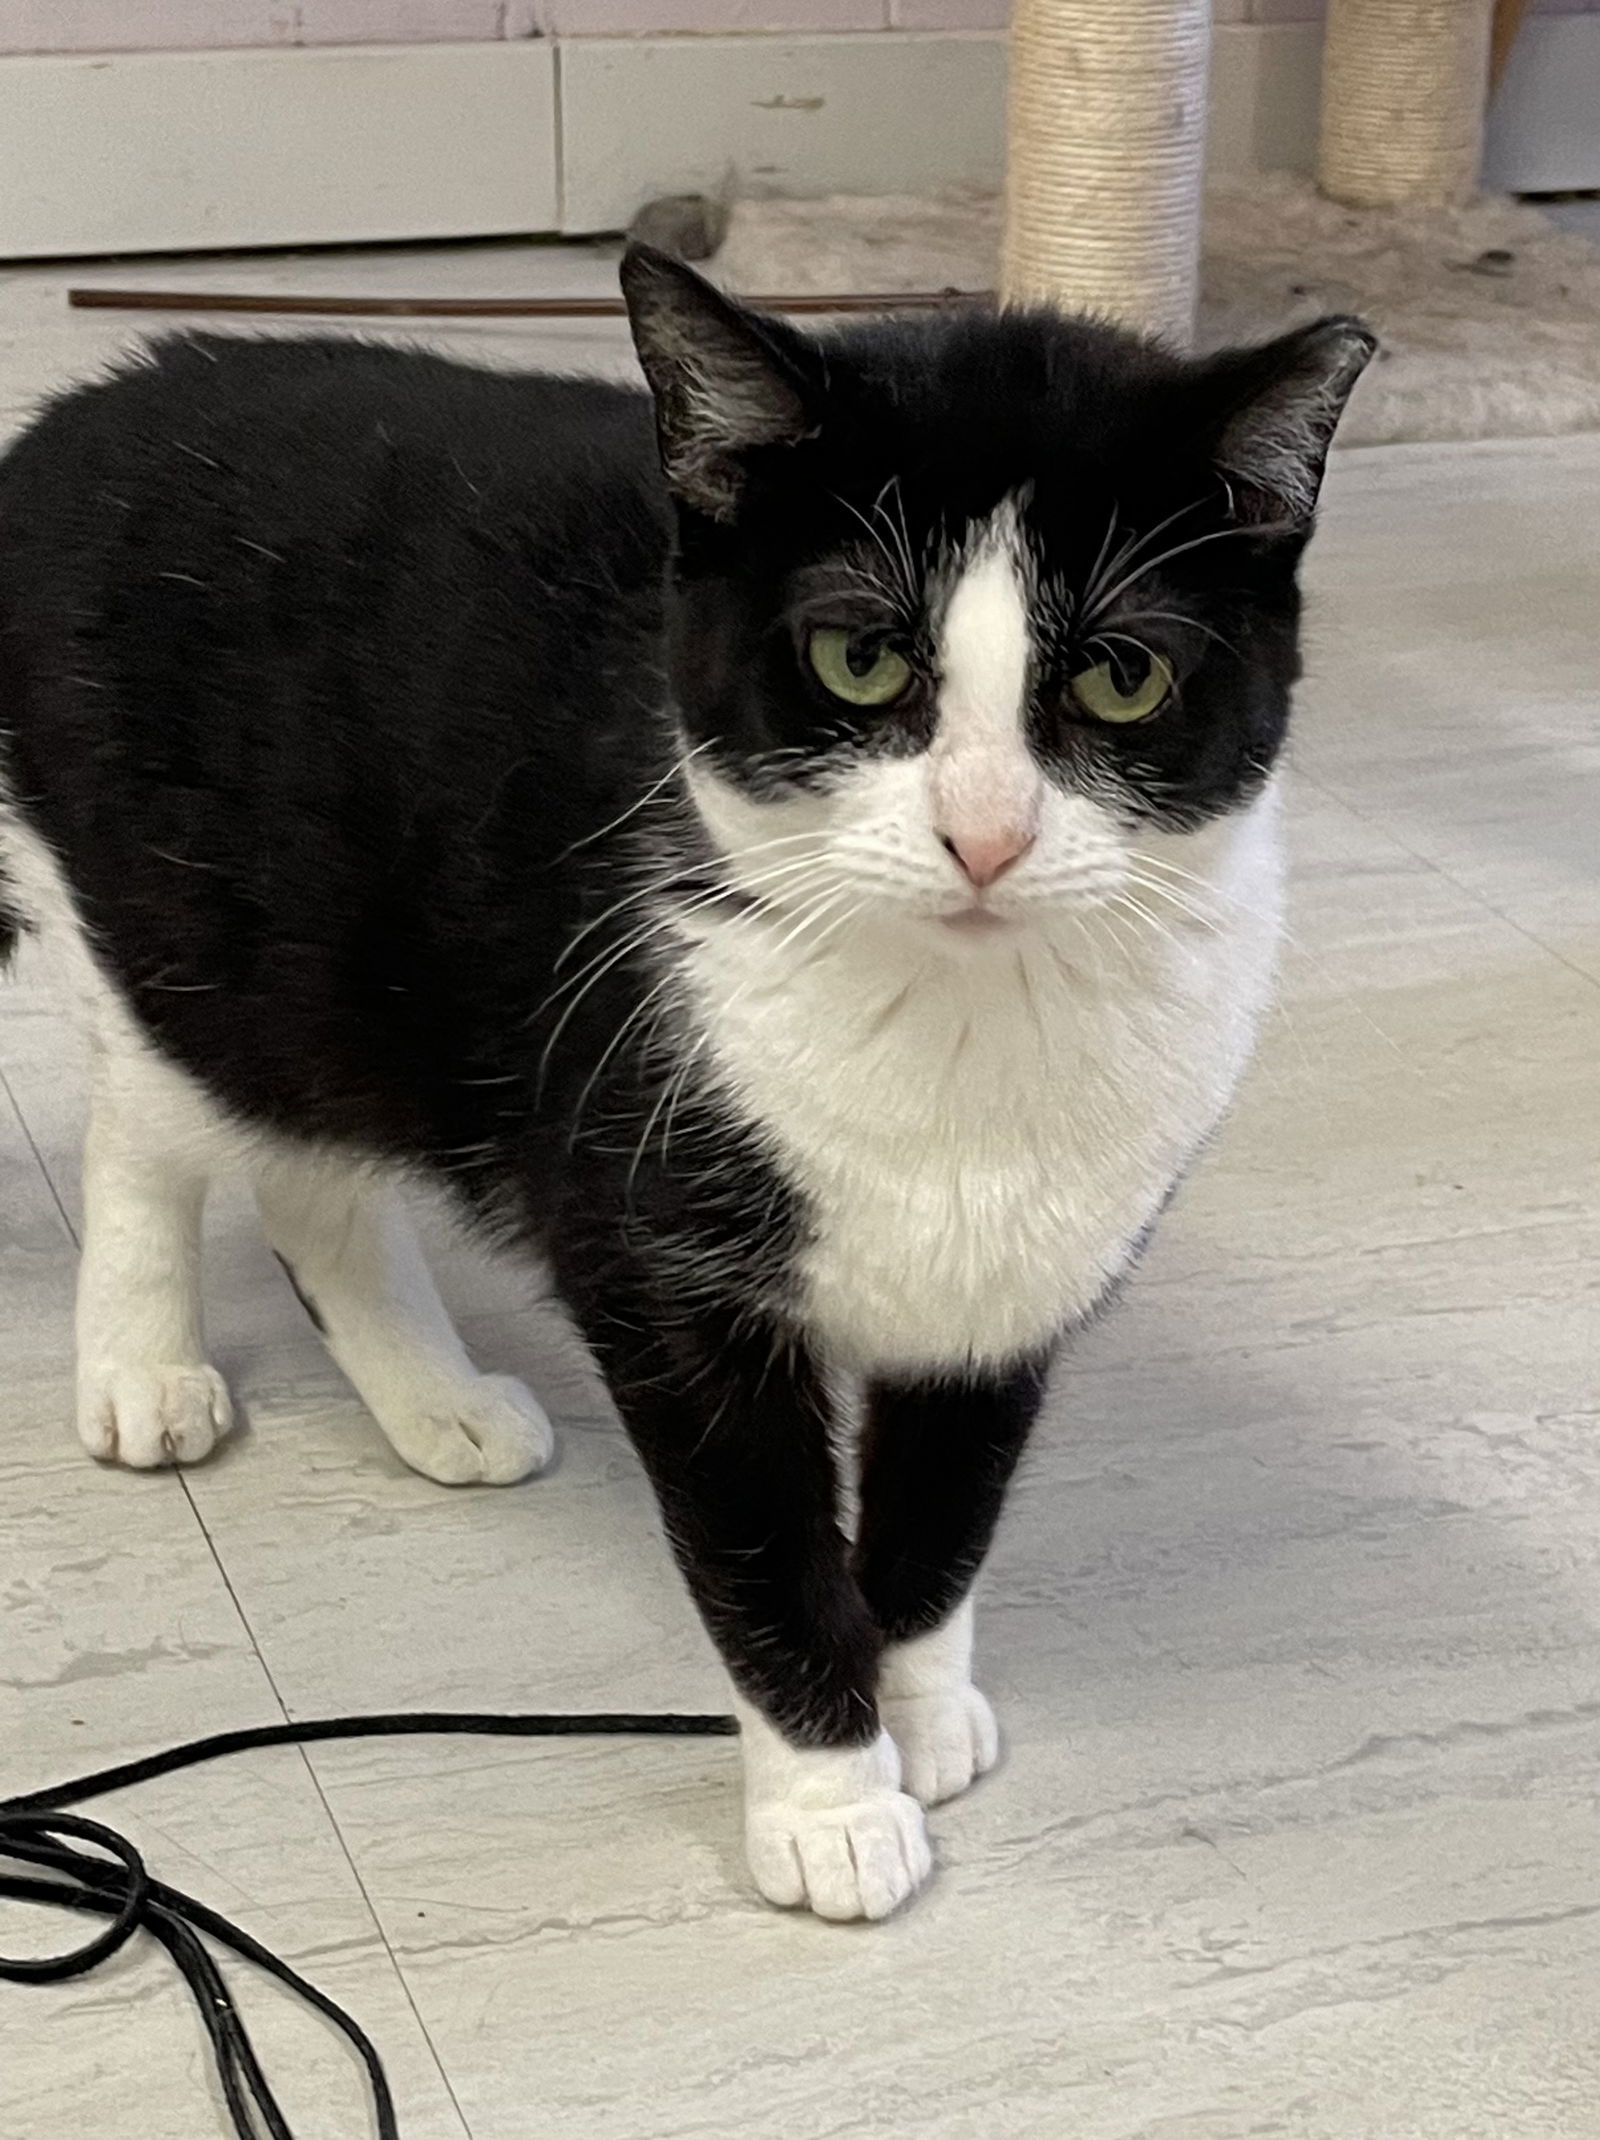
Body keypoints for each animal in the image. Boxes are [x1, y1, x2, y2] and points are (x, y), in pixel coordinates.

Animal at [0, 250, 1377, 1926]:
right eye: (860, 656)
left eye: (1125, 677)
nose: (985, 835)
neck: (962, 1029)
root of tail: (83, 409)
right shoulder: (660, 1250)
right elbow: (763, 1543)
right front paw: (831, 1805)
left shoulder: (1021, 1279)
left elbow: (946, 1512)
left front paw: (918, 1704)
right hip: (193, 920)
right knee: (150, 1110)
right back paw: (143, 1369)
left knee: (309, 1169)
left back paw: (441, 1405)